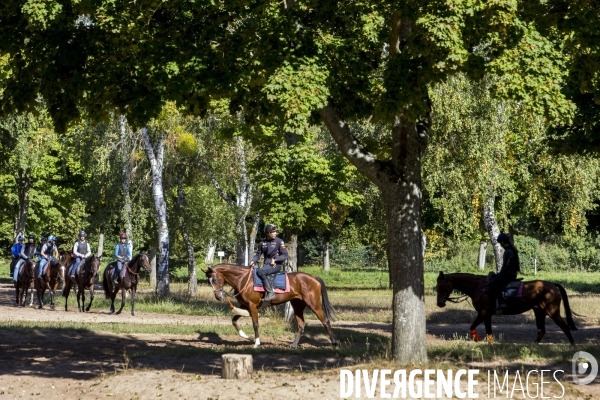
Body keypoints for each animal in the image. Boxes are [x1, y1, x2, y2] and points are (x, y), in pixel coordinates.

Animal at [205, 264, 338, 348]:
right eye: (209, 281)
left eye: (215, 280)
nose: (218, 296)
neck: (243, 280)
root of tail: (314, 277)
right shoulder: (244, 306)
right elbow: (234, 320)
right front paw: (246, 336)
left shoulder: (252, 306)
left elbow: (255, 324)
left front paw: (256, 343)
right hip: (298, 306)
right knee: (301, 325)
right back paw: (294, 345)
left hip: (314, 305)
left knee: (325, 321)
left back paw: (334, 343)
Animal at [436, 272, 576, 344]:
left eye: (441, 286)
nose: (439, 303)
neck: (479, 287)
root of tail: (553, 285)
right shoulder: (483, 314)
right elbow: (476, 327)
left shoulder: (484, 313)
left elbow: (485, 330)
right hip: (539, 312)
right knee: (541, 331)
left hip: (552, 312)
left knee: (565, 327)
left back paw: (572, 344)